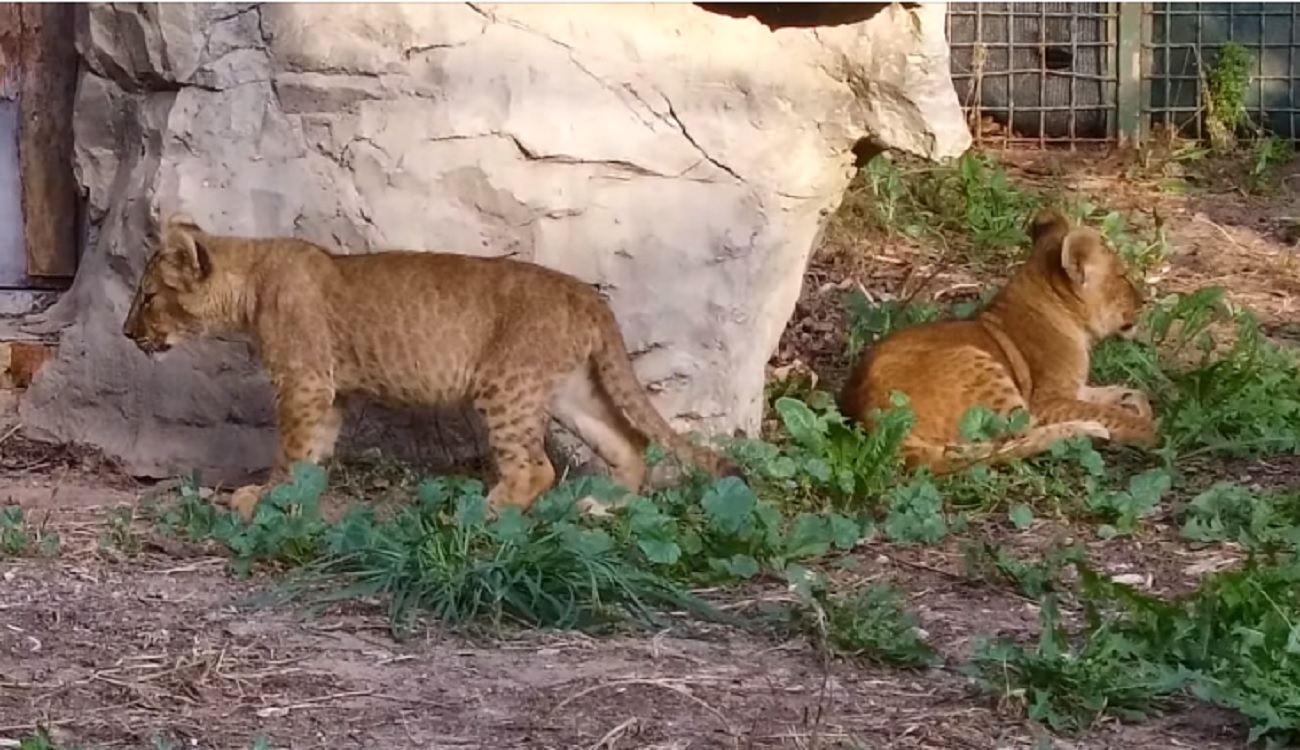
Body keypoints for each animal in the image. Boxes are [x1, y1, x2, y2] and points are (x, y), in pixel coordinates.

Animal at [122, 215, 742, 520]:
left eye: (148, 297)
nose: (127, 333)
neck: (252, 279)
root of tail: (588, 295)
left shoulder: (303, 382)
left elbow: (291, 450)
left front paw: (261, 499)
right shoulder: (331, 393)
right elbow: (311, 455)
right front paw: (292, 499)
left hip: (508, 386)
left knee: (536, 468)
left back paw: (481, 513)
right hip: (570, 392)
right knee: (628, 445)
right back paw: (601, 507)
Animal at [837, 208, 1159, 475]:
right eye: (1123, 276)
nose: (1145, 301)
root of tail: (872, 420)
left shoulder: (1074, 389)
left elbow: (1123, 392)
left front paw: (1137, 404)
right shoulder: (1048, 401)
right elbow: (1109, 413)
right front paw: (1151, 430)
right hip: (983, 370)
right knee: (1015, 440)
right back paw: (1089, 432)